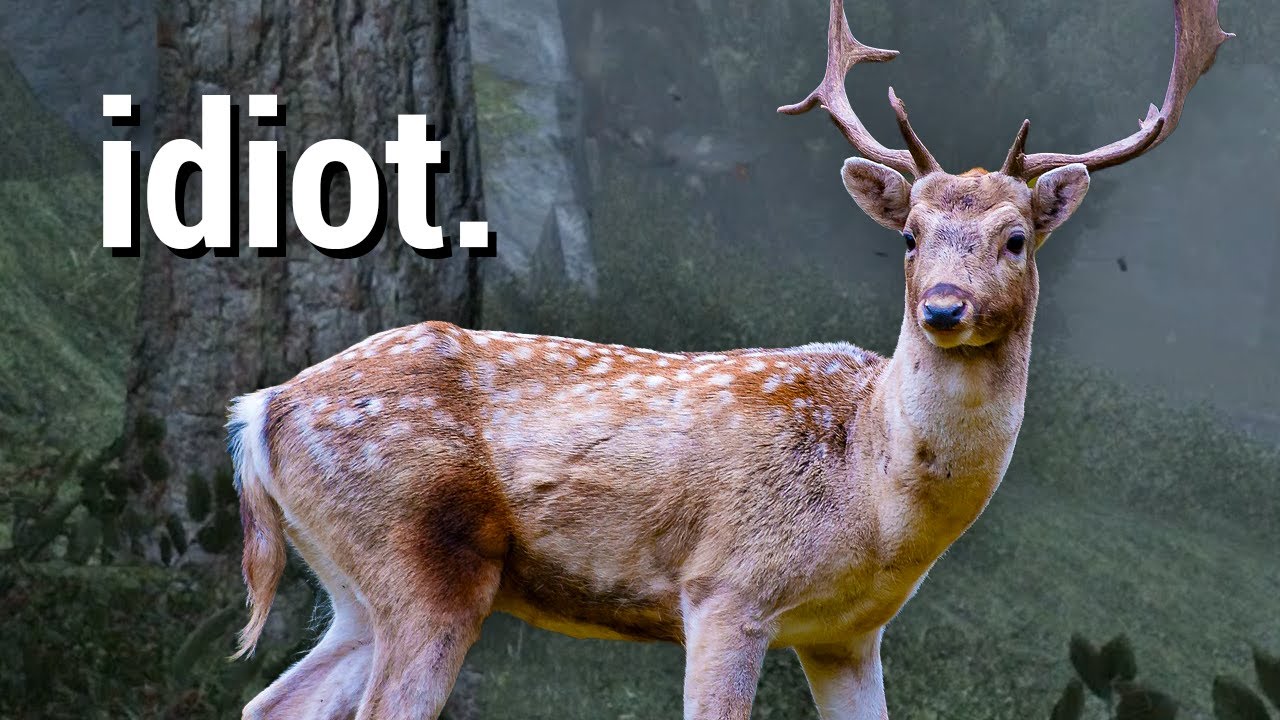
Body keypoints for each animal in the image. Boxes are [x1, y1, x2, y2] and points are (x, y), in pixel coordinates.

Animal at [227, 1, 1232, 718]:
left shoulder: (848, 636)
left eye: (1016, 238)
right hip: (424, 559)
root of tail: (260, 412)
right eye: (909, 235)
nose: (944, 307)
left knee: (269, 705)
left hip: (354, 586)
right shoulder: (724, 590)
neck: (872, 501)